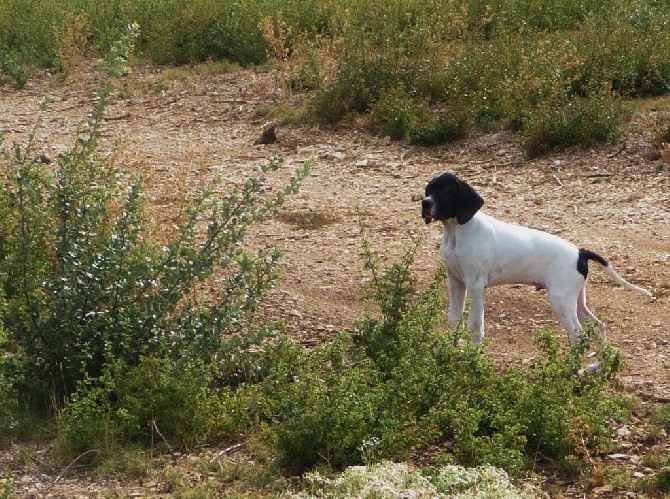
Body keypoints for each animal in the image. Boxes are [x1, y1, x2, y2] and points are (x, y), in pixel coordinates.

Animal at [422, 172, 652, 352]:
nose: (425, 203)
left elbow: (475, 326)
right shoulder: (456, 282)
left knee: (578, 336)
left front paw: (471, 356)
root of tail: (581, 252)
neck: (457, 231)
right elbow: (454, 320)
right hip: (576, 301)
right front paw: (447, 350)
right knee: (599, 327)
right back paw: (596, 369)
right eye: (428, 189)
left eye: (445, 192)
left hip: (560, 300)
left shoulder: (476, 286)